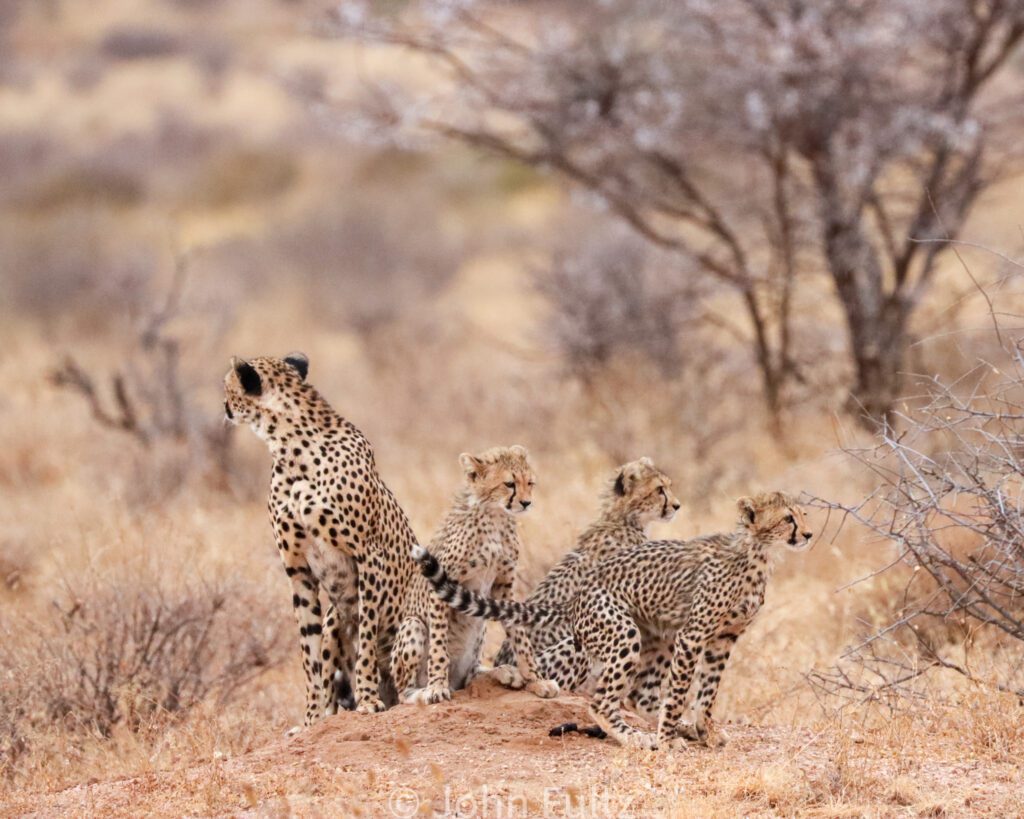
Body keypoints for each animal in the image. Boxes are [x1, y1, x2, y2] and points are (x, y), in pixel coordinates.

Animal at [223, 354, 415, 720]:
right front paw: (311, 717)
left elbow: (366, 637)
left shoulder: (369, 554)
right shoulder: (297, 569)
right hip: (333, 620)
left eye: (227, 388)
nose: (223, 406)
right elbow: (308, 652)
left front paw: (368, 699)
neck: (289, 450)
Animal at [389, 448, 557, 704]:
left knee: (472, 675)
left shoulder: (503, 585)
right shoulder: (440, 584)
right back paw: (422, 691)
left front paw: (536, 680)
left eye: (530, 483)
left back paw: (505, 672)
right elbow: (439, 646)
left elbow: (519, 634)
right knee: (402, 692)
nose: (527, 502)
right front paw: (437, 687)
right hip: (413, 624)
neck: (495, 515)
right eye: (509, 484)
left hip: (480, 632)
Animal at [411, 493, 811, 749]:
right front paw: (669, 740)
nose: (808, 534)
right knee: (601, 701)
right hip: (622, 631)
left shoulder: (723, 638)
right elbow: (681, 691)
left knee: (637, 696)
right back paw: (637, 737)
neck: (757, 553)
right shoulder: (694, 635)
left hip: (656, 634)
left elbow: (708, 690)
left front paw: (703, 729)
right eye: (788, 518)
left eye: (803, 515)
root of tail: (578, 594)